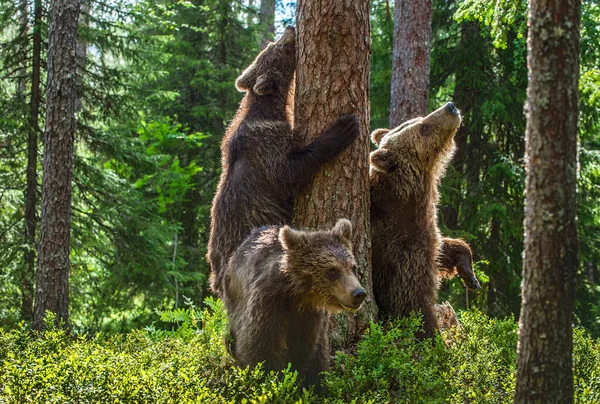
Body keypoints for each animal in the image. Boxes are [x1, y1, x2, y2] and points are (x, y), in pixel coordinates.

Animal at [206, 26, 358, 296]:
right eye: (278, 48)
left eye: (269, 45)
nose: (290, 29)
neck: (271, 111)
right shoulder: (267, 152)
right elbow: (292, 171)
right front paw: (344, 127)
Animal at [224, 219, 368, 386]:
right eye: (332, 270)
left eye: (353, 267)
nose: (359, 293)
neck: (298, 294)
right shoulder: (267, 304)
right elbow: (260, 345)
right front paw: (267, 377)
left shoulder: (310, 316)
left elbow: (303, 349)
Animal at [370, 102, 478, 338]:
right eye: (424, 128)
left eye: (419, 119)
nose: (450, 107)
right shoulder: (398, 250)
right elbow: (412, 303)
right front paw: (432, 336)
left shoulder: (425, 229)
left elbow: (445, 248)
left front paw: (469, 276)